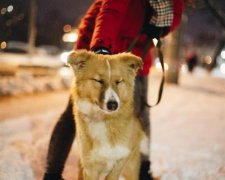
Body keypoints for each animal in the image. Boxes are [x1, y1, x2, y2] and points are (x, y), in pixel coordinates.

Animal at [67, 50, 149, 180]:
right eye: (98, 80)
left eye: (118, 81)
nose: (113, 105)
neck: (104, 119)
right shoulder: (90, 167)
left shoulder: (122, 158)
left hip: (130, 169)